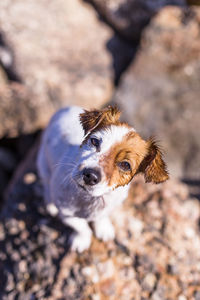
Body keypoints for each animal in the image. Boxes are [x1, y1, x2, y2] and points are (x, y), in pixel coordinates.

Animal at [36, 105, 168, 251]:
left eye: (125, 165)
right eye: (94, 141)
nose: (90, 176)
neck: (91, 199)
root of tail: (65, 108)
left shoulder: (110, 207)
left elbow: (101, 218)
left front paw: (103, 229)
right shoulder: (66, 214)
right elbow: (81, 227)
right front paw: (82, 239)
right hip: (43, 165)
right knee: (46, 185)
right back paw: (50, 204)